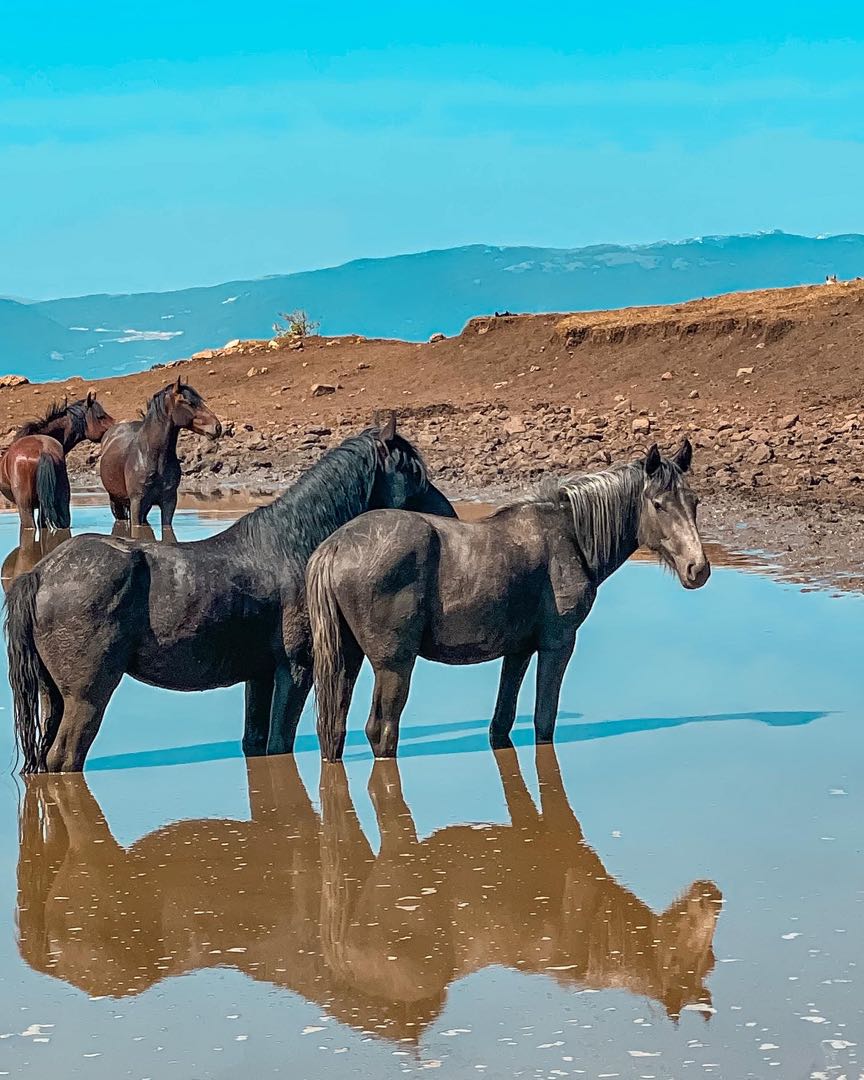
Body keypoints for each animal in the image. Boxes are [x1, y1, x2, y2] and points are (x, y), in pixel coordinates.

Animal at [5, 417, 456, 773]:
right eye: (412, 471)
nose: (449, 515)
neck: (293, 547)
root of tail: (42, 573)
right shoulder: (296, 670)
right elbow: (279, 743)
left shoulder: (260, 675)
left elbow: (256, 742)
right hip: (86, 696)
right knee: (64, 759)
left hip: (54, 696)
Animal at [99, 378, 221, 536]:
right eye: (189, 402)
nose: (217, 427)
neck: (153, 457)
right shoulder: (137, 502)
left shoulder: (169, 501)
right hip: (116, 501)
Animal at [308, 440, 710, 761]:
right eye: (658, 504)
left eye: (694, 501)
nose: (698, 569)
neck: (571, 537)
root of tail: (335, 547)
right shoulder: (558, 643)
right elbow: (544, 720)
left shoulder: (518, 650)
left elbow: (501, 723)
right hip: (394, 665)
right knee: (381, 730)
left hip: (348, 659)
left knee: (334, 728)